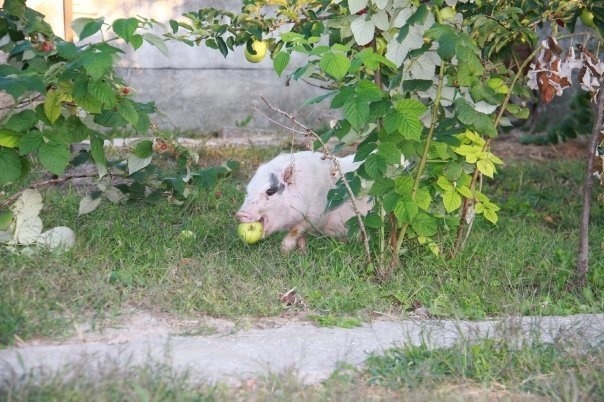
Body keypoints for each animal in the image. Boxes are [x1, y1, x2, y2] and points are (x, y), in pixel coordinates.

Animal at [235, 151, 368, 251]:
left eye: (270, 191)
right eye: (248, 191)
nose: (239, 214)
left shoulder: (318, 213)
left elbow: (297, 229)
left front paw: (284, 250)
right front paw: (302, 250)